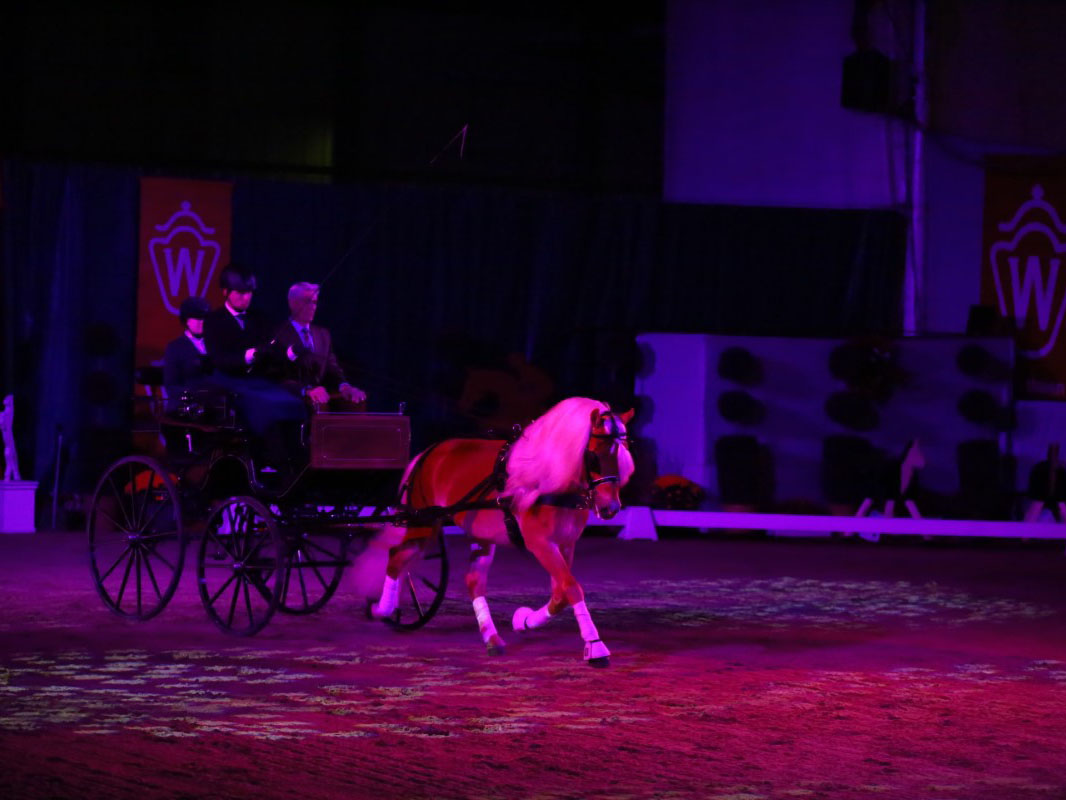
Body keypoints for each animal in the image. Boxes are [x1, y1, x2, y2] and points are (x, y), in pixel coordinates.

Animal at [368, 398, 631, 665]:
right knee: (397, 557)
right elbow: (572, 587)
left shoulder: (566, 543)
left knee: (472, 580)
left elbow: (561, 594)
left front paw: (524, 620)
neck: (550, 482)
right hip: (422, 522)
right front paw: (595, 645)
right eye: (594, 456)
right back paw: (383, 610)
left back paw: (491, 638)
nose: (610, 508)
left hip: (477, 534)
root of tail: (428, 452)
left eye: (622, 453)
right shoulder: (541, 544)